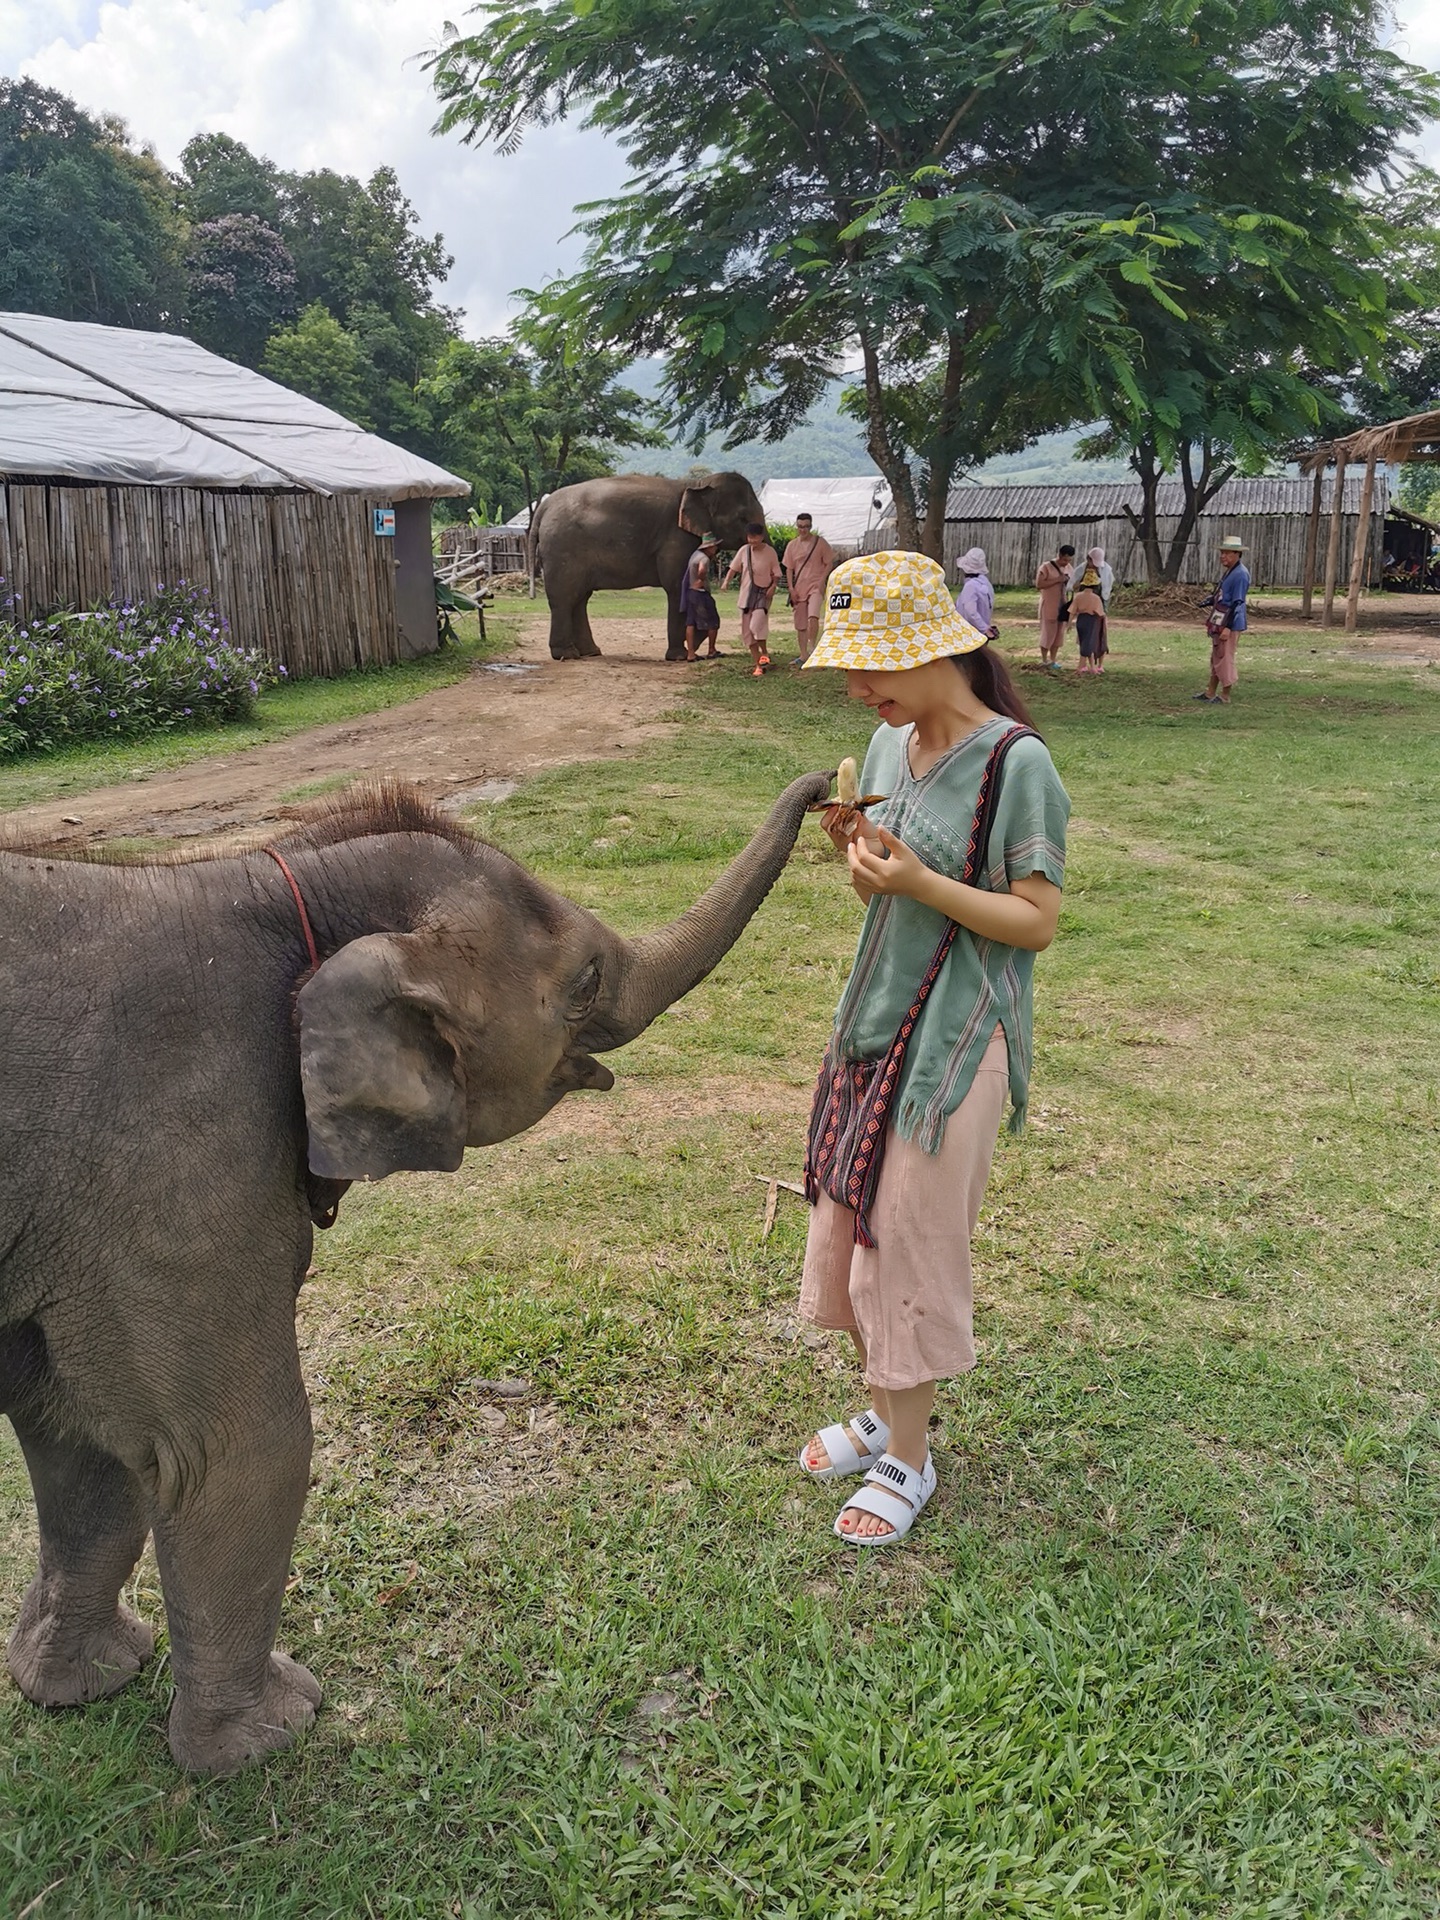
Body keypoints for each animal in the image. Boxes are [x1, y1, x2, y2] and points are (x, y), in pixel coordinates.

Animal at [0, 771, 829, 1774]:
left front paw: (79, 1684)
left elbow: (74, 1433)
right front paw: (273, 1733)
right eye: (585, 983)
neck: (270, 879)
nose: (830, 786)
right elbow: (234, 1448)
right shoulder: (173, 1179)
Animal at [533, 468, 768, 664]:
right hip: (562, 547)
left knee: (580, 598)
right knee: (565, 597)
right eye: (742, 518)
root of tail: (544, 506)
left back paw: (590, 653)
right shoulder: (676, 537)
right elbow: (676, 585)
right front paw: (680, 657)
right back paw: (567, 655)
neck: (697, 484)